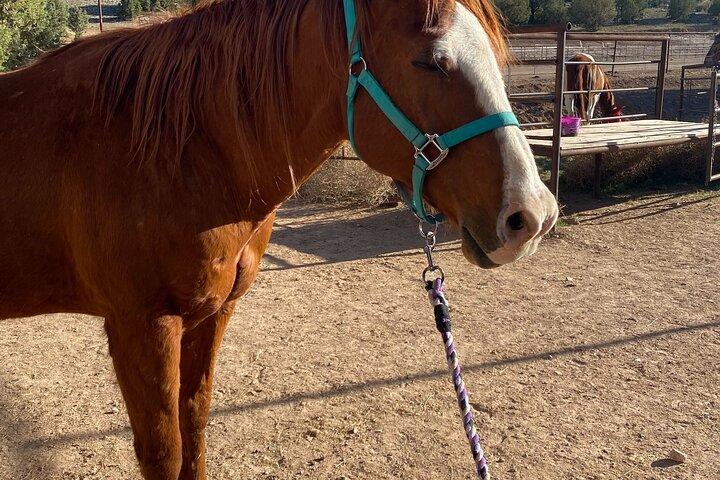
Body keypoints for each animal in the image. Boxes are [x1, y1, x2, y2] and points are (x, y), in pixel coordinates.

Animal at [0, 0, 558, 478]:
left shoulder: (212, 314)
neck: (170, 151)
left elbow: (194, 428)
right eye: (430, 62)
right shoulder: (142, 325)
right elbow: (164, 452)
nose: (531, 215)